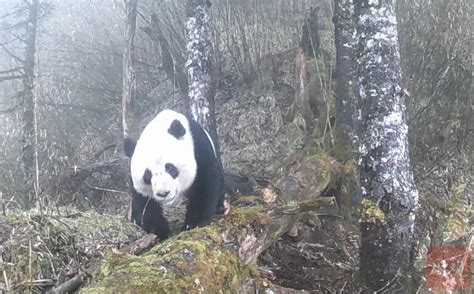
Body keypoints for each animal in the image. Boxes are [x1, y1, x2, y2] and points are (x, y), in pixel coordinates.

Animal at [124, 109, 224, 240]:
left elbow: (206, 181)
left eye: (170, 168)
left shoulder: (198, 147)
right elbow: (143, 203)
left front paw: (195, 222)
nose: (163, 193)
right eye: (147, 176)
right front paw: (158, 230)